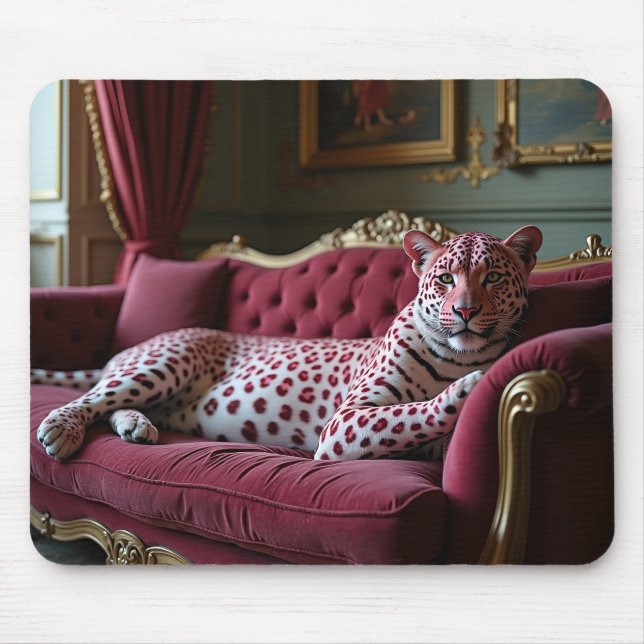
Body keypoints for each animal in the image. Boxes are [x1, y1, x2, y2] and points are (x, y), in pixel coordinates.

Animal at [33, 225, 542, 462]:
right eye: (445, 279)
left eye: (493, 278)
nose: (465, 311)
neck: (457, 357)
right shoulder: (343, 422)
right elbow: (409, 412)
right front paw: (467, 389)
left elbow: (424, 432)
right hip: (165, 362)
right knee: (93, 398)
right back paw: (61, 430)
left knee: (113, 406)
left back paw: (136, 427)